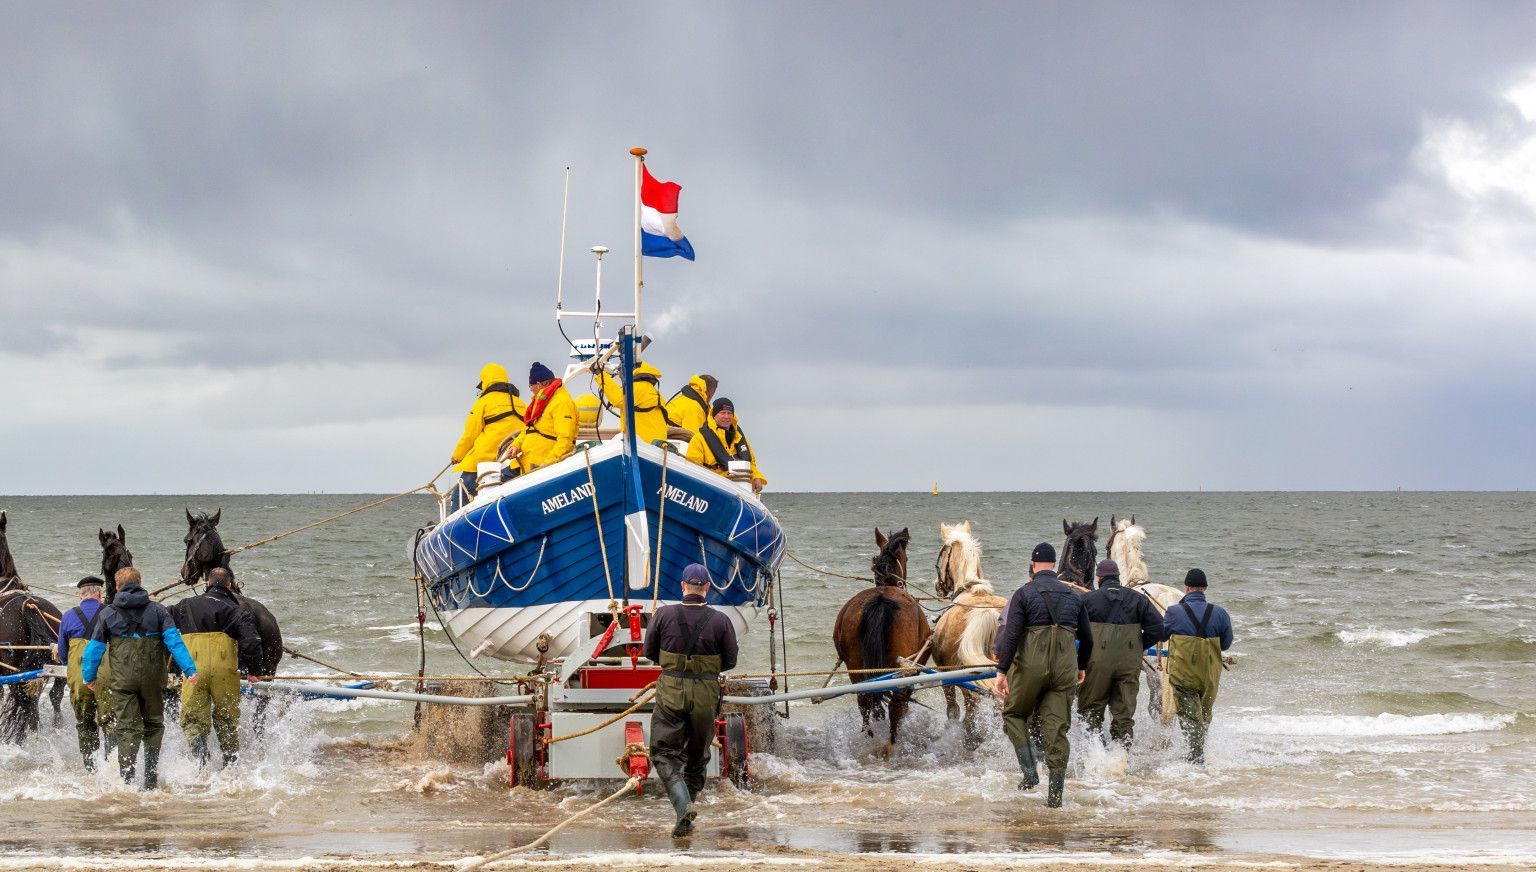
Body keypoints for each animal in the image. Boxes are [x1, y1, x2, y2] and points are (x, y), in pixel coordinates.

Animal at [835, 525, 927, 755]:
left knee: (865, 700)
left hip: (856, 666)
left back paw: (870, 736)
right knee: (896, 703)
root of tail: (880, 599)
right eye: (906, 558)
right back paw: (892, 743)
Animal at [921, 521, 1007, 746]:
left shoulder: (946, 677)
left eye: (942, 554)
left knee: (971, 705)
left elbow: (953, 709)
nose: (937, 585)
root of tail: (985, 610)